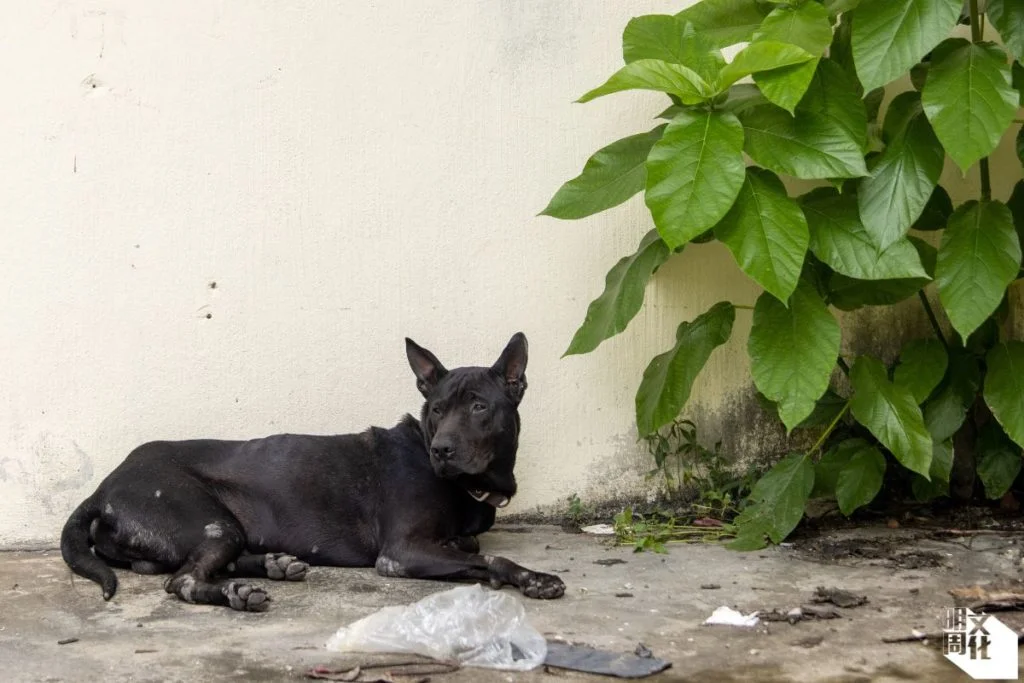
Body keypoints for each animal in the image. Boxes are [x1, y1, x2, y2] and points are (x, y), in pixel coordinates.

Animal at [59, 333, 565, 610]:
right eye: (437, 409)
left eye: (479, 406)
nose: (442, 449)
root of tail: (103, 486)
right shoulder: (401, 553)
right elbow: (491, 559)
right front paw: (535, 579)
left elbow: (473, 546)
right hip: (211, 521)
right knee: (183, 579)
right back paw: (237, 593)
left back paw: (273, 564)